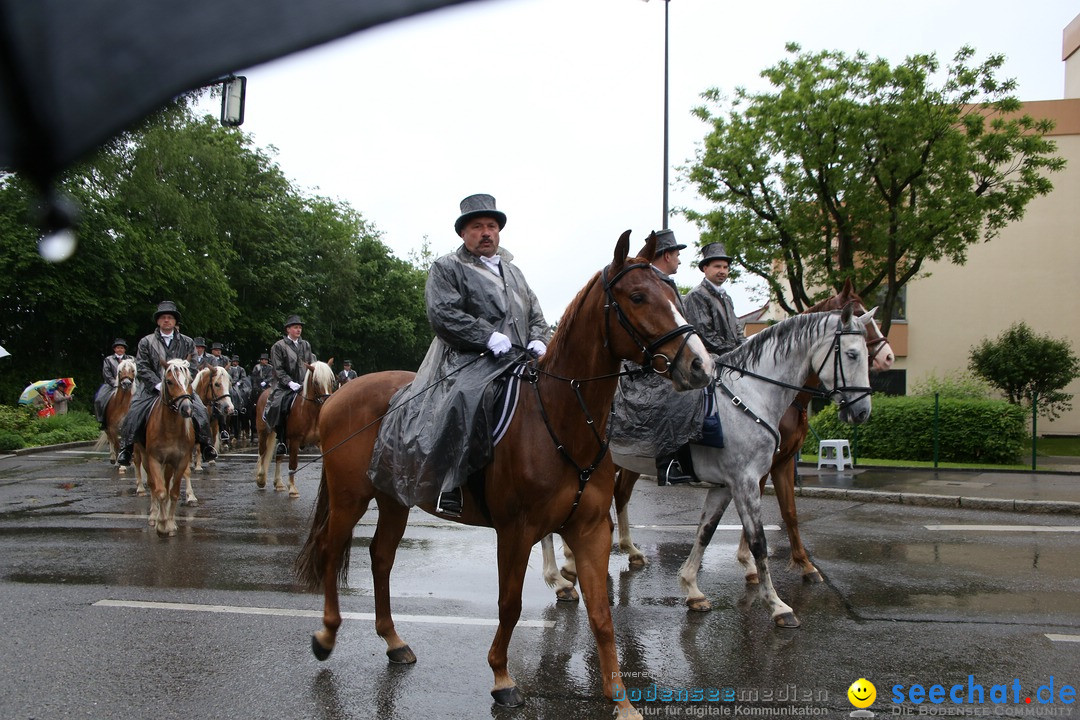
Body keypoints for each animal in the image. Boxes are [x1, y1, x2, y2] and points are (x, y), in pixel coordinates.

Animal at [138, 358, 197, 535]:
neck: (170, 428)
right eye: (169, 381)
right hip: (144, 457)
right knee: (153, 484)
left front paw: (170, 522)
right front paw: (162, 523)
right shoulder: (154, 459)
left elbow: (174, 492)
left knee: (166, 482)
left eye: (189, 380)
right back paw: (153, 516)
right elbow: (161, 492)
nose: (187, 409)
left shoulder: (180, 461)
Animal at [254, 362, 334, 498]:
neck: (310, 411)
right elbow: (293, 464)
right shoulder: (295, 440)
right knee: (262, 452)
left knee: (278, 456)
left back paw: (278, 483)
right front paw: (292, 488)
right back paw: (260, 479)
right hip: (263, 432)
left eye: (332, 381)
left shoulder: (320, 441)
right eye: (316, 382)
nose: (327, 401)